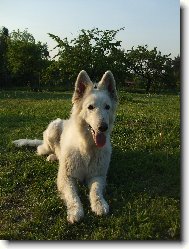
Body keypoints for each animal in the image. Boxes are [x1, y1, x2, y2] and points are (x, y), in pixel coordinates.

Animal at [13, 70, 118, 224]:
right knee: (43, 149)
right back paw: (52, 156)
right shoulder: (65, 177)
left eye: (107, 107)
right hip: (53, 130)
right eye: (90, 107)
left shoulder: (97, 175)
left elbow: (95, 191)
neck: (86, 147)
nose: (103, 127)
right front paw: (76, 211)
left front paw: (99, 204)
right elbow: (73, 195)